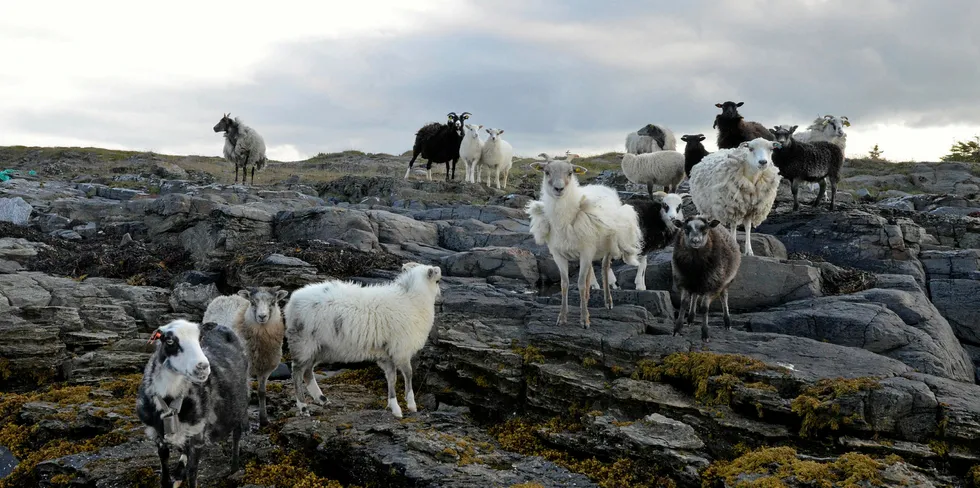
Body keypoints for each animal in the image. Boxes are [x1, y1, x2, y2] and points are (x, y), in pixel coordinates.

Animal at [137, 320, 251, 488]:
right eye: (169, 340)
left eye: (200, 338)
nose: (202, 367)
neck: (170, 399)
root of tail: (220, 325)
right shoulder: (157, 432)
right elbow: (164, 460)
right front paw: (169, 479)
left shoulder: (198, 433)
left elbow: (193, 471)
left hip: (239, 402)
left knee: (237, 433)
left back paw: (234, 468)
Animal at [201, 286, 288, 428]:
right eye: (252, 302)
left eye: (273, 302)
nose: (262, 316)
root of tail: (227, 296)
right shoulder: (245, 369)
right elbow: (246, 395)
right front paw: (245, 424)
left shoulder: (265, 369)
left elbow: (262, 393)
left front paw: (264, 420)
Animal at [280, 264, 440, 418]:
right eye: (437, 281)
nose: (440, 294)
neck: (412, 300)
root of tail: (292, 302)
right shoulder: (401, 350)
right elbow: (408, 375)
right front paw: (411, 405)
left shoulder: (387, 354)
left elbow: (391, 379)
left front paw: (394, 407)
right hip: (304, 343)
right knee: (297, 372)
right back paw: (303, 407)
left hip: (318, 348)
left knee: (307, 372)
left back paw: (322, 399)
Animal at [528, 158, 644, 330]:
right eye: (546, 172)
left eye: (570, 172)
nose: (559, 188)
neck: (565, 219)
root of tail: (602, 186)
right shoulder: (558, 254)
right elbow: (564, 284)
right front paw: (562, 317)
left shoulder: (586, 251)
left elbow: (581, 283)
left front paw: (584, 320)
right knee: (590, 271)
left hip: (607, 245)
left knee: (604, 268)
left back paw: (608, 301)